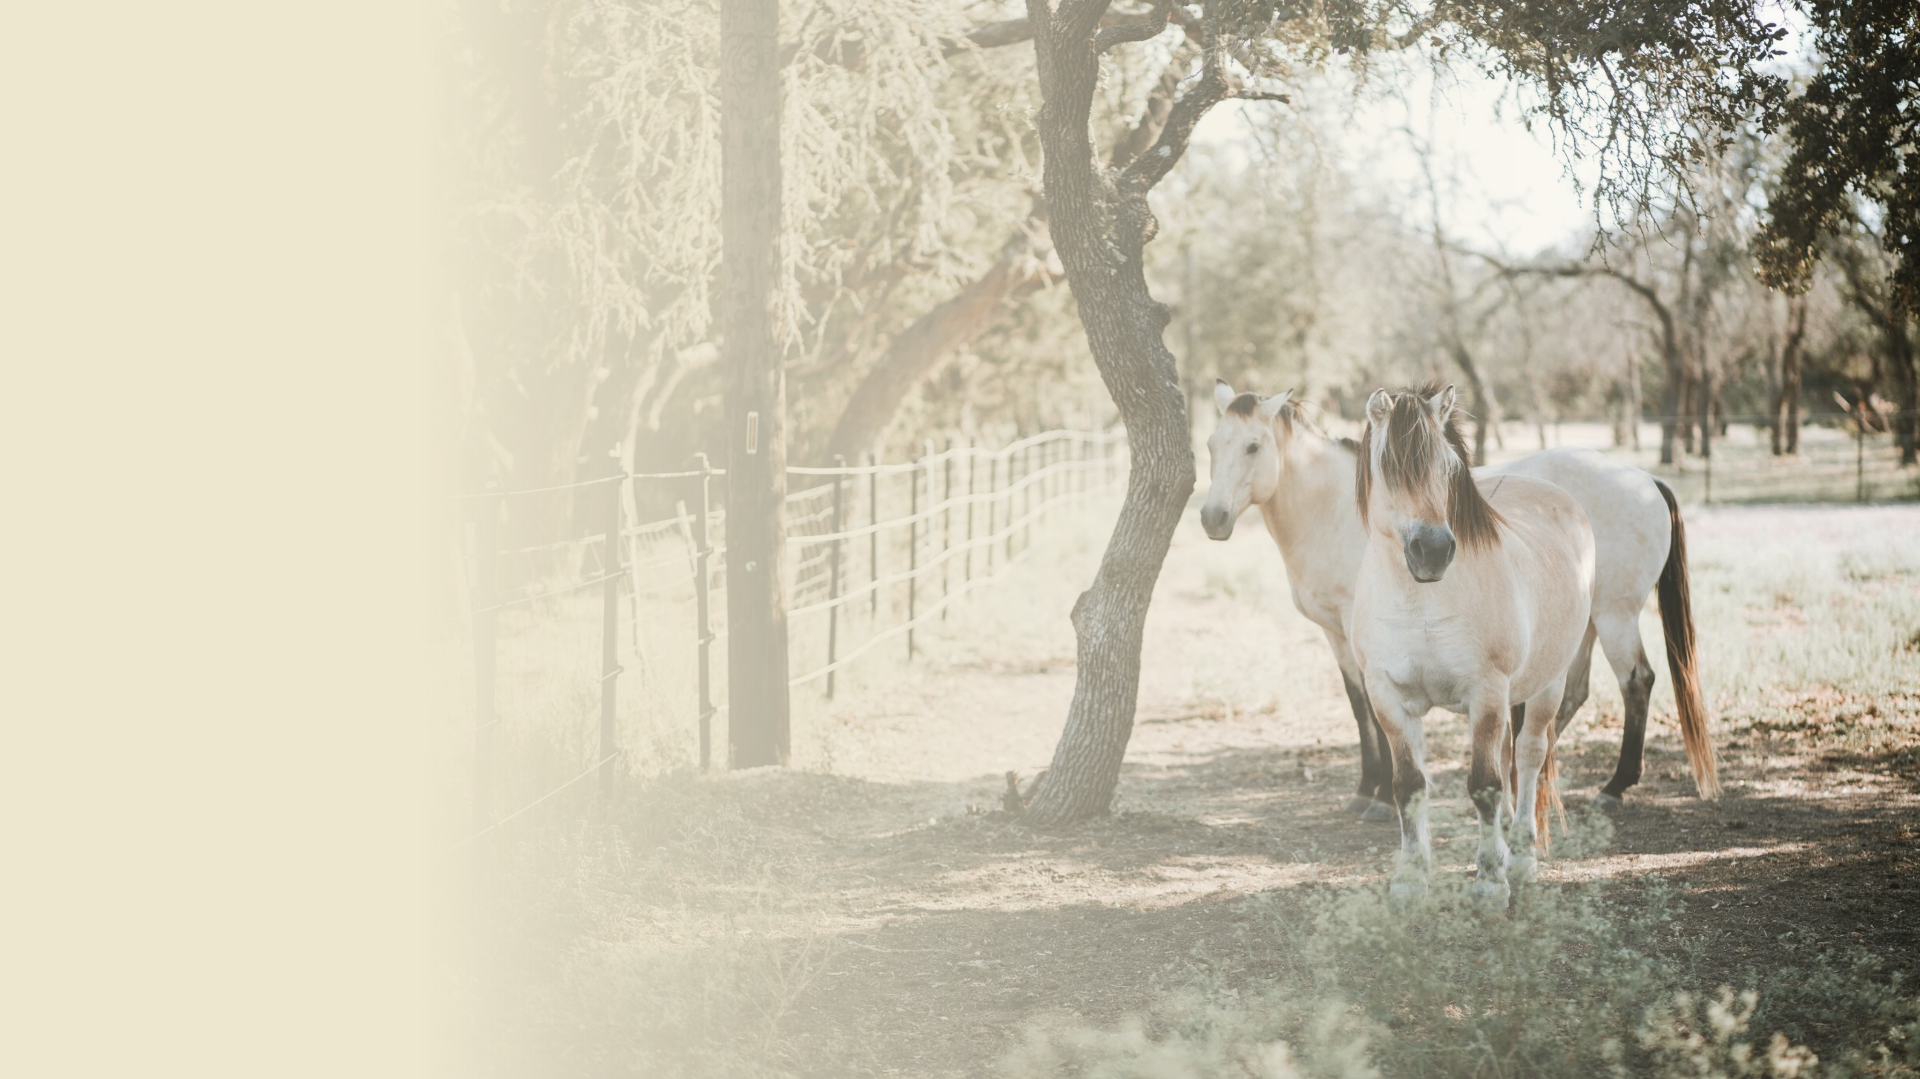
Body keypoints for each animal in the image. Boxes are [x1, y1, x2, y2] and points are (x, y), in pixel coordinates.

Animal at [1200, 381, 1716, 818]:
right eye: (1210, 445)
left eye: (1253, 446)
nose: (1212, 518)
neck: (1335, 511)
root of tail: (1645, 479)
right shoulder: (1338, 634)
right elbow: (1358, 704)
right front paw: (1367, 788)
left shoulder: (1359, 632)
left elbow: (1372, 712)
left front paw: (1381, 797)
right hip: (1576, 625)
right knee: (1568, 693)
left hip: (1615, 617)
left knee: (1637, 682)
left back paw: (1613, 787)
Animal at [1349, 384, 1594, 903]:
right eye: (1389, 469)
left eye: (1447, 469)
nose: (1433, 550)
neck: (1421, 601)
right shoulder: (1387, 697)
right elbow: (1409, 785)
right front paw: (1410, 879)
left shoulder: (1486, 692)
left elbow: (1485, 785)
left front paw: (1489, 883)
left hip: (1548, 684)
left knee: (1528, 756)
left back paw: (1519, 858)